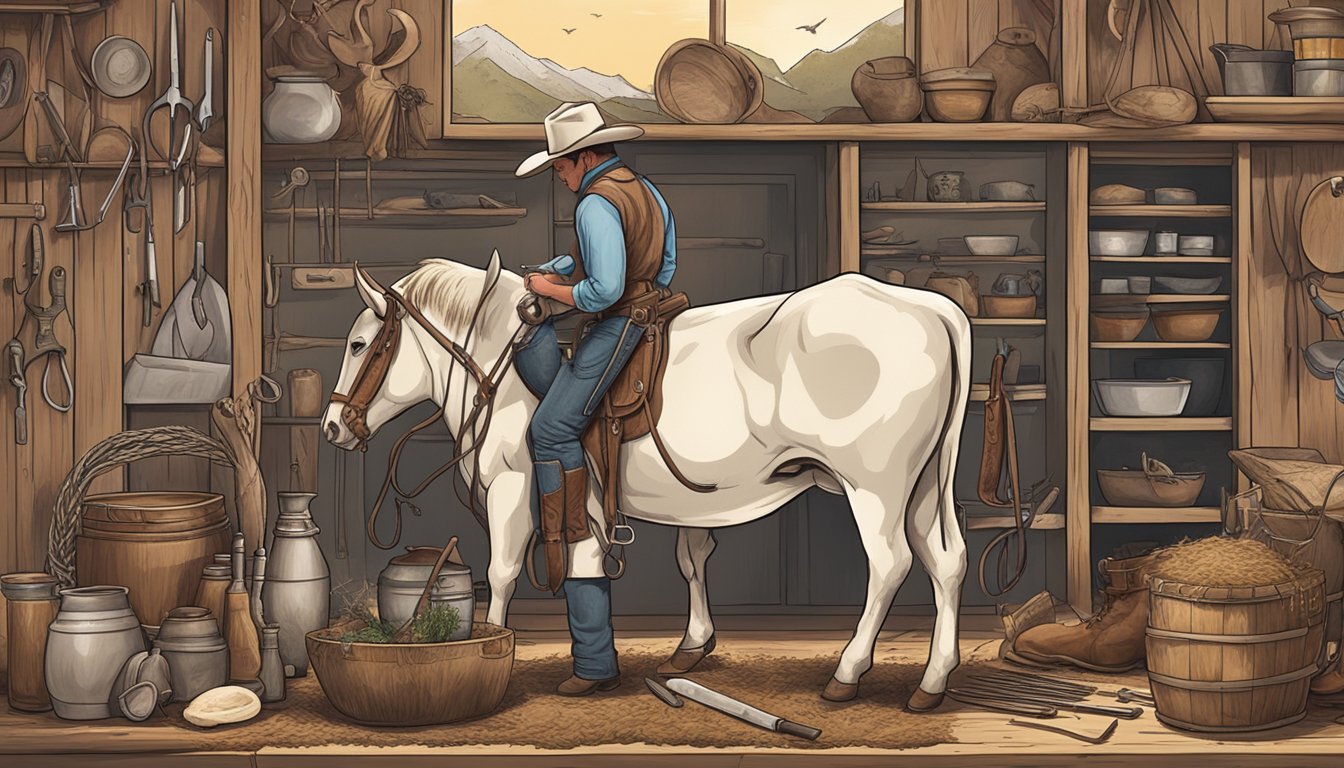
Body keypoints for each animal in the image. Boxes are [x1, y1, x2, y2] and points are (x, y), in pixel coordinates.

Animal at [325, 254, 978, 710]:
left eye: (358, 344)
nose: (333, 426)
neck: (503, 369)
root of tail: (935, 308)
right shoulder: (603, 504)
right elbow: (661, 562)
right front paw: (670, 651)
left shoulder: (514, 491)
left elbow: (503, 573)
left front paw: (497, 652)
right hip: (923, 486)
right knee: (946, 562)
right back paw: (933, 680)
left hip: (876, 488)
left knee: (890, 565)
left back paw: (847, 673)